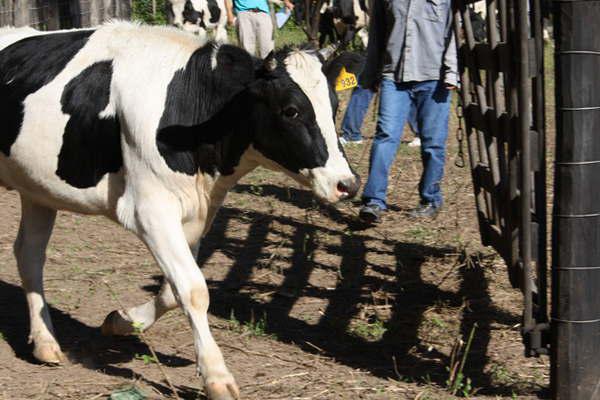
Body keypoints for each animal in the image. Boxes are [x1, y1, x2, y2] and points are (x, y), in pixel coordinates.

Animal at [0, 21, 356, 400]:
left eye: (334, 105)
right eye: (291, 110)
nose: (347, 184)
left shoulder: (198, 213)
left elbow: (174, 289)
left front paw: (122, 320)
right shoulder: (149, 210)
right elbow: (193, 288)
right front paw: (216, 376)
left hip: (36, 187)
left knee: (29, 254)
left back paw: (45, 343)